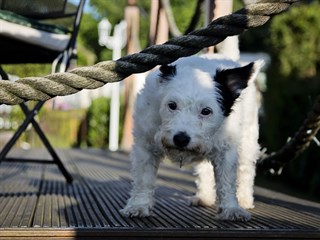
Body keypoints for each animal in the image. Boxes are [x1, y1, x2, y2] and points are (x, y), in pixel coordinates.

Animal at [120, 54, 262, 221]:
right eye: (172, 105)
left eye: (206, 111)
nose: (181, 139)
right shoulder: (145, 146)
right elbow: (143, 179)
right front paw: (139, 205)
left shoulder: (226, 151)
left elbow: (227, 181)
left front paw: (231, 208)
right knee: (205, 171)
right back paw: (204, 197)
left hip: (247, 144)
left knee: (246, 170)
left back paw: (244, 199)